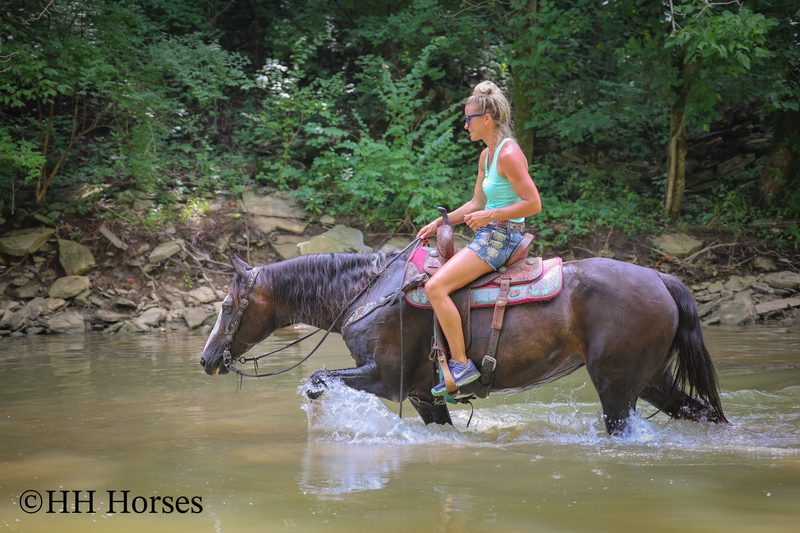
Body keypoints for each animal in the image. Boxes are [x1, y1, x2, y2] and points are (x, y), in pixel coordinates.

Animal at [200, 250, 727, 435]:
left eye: (226, 306)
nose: (206, 360)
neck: (368, 292)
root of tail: (660, 278)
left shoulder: (385, 380)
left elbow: (318, 380)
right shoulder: (421, 394)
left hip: (617, 385)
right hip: (651, 379)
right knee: (705, 412)